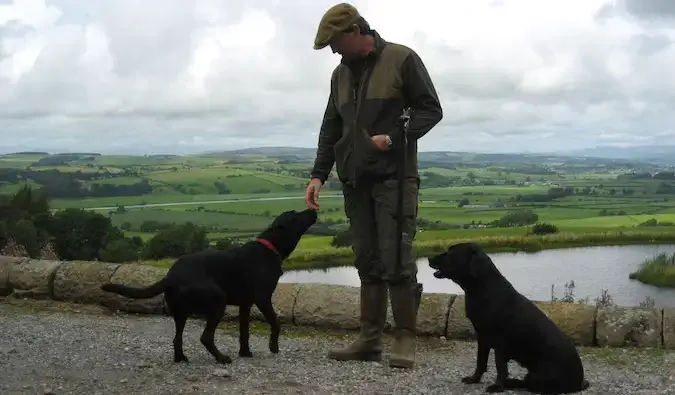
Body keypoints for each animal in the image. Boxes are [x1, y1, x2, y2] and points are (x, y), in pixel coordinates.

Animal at [101, 209, 318, 366]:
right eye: (296, 214)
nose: (313, 209)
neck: (270, 246)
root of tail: (171, 276)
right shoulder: (262, 298)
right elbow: (276, 323)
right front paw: (273, 347)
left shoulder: (245, 304)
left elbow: (244, 331)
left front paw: (245, 352)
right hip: (217, 301)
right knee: (205, 337)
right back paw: (222, 358)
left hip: (180, 313)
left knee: (177, 338)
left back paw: (181, 358)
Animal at [430, 243, 588, 394]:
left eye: (450, 253)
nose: (429, 258)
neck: (482, 288)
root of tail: (579, 382)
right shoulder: (482, 337)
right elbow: (480, 362)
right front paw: (474, 379)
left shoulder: (500, 342)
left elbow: (500, 367)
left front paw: (497, 386)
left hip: (538, 376)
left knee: (528, 384)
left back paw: (510, 383)